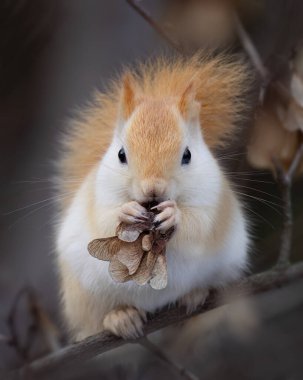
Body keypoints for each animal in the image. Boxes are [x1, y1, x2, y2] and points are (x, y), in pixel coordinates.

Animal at [56, 54, 252, 342]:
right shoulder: (98, 196)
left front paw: (174, 215)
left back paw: (195, 295)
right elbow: (103, 220)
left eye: (187, 155)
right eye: (121, 154)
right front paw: (125, 212)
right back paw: (120, 317)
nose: (153, 188)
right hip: (85, 295)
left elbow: (200, 226)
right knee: (96, 319)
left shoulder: (213, 200)